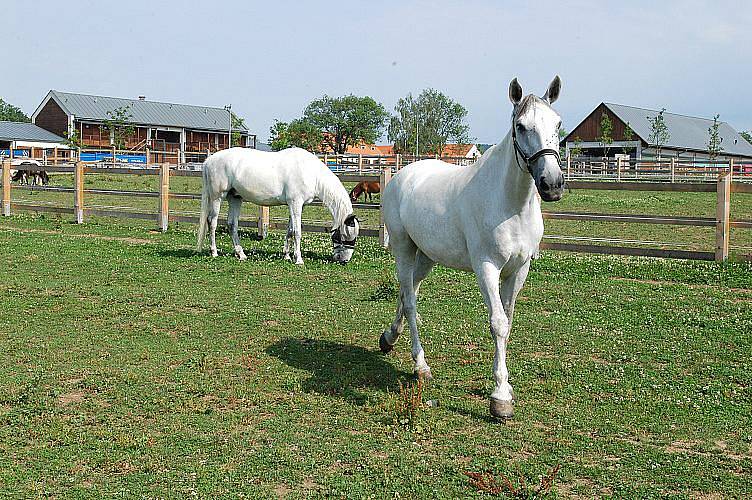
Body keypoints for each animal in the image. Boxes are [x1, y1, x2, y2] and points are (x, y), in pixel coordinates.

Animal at [194, 146, 358, 266]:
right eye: (344, 236)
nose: (343, 260)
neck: (309, 172)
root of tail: (209, 160)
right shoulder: (295, 203)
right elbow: (297, 232)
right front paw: (299, 260)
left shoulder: (297, 206)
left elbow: (290, 231)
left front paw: (287, 256)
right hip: (217, 197)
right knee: (212, 222)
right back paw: (214, 252)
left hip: (235, 198)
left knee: (232, 224)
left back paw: (241, 254)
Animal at [382, 75, 564, 418]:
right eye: (521, 126)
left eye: (558, 124)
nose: (552, 184)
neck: (509, 204)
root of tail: (403, 175)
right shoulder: (486, 267)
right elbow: (498, 324)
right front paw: (500, 398)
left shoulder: (519, 269)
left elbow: (508, 319)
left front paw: (504, 389)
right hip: (403, 248)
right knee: (410, 302)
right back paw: (420, 365)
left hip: (427, 257)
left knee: (407, 291)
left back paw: (389, 338)